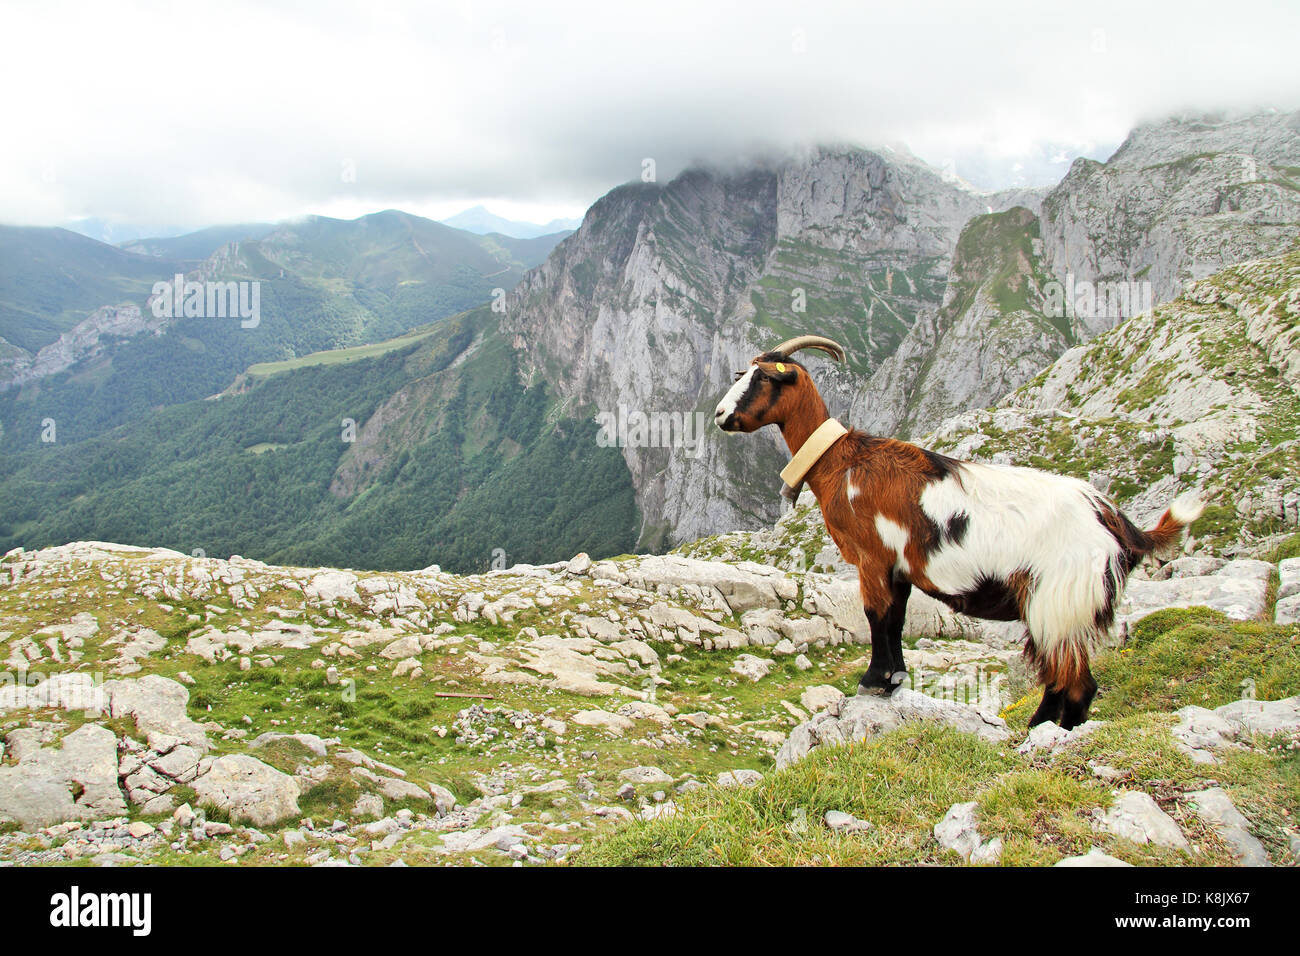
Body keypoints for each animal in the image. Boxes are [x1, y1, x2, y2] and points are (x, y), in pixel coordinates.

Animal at [717, 332, 1201, 728]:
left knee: (1077, 685)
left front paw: (872, 680)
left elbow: (876, 615)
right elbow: (896, 618)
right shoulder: (899, 566)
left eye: (764, 378)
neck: (842, 461)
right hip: (1058, 609)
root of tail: (1118, 523)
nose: (720, 414)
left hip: (1061, 601)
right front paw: (894, 679)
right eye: (743, 373)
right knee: (1060, 679)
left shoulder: (872, 556)